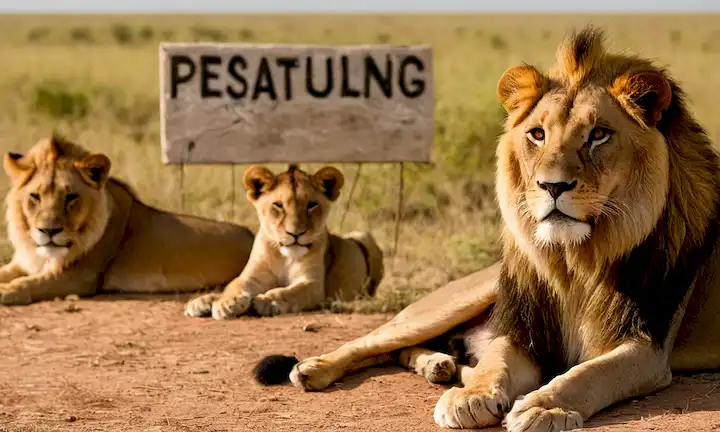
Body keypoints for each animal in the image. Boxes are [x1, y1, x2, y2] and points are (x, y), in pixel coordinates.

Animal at [0, 135, 255, 305]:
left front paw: (5, 291)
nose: (49, 231)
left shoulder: (79, 277)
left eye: (71, 197)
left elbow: (29, 283)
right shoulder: (23, 264)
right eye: (35, 196)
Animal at [183, 164, 384, 320]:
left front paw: (267, 301)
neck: (285, 257)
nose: (295, 233)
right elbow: (235, 284)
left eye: (312, 205)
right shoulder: (253, 276)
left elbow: (290, 291)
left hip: (362, 236)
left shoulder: (312, 283)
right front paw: (226, 303)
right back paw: (202, 301)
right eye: (278, 205)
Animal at [253, 26, 720, 431]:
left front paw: (543, 407)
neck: (575, 261)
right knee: (376, 341)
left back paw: (439, 366)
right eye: (538, 134)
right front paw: (470, 396)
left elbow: (588, 374)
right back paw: (315, 367)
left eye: (599, 135)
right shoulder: (520, 329)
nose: (552, 186)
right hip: (460, 298)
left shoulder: (646, 347)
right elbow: (495, 361)